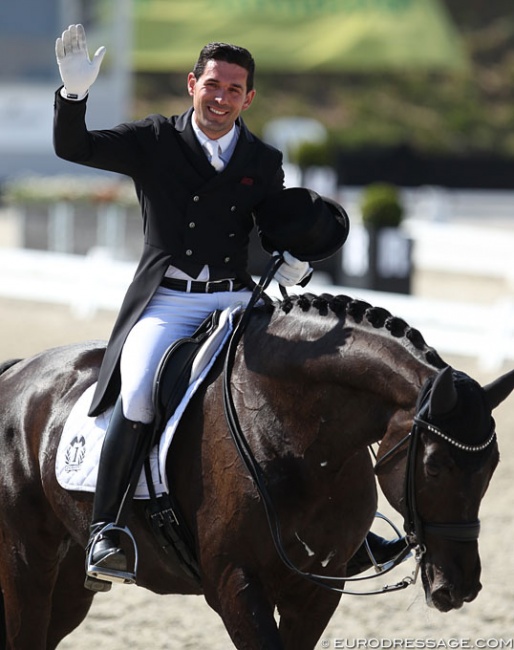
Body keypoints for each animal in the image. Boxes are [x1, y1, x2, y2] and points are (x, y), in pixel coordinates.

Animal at [1, 294, 512, 648]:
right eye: (436, 465)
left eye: (492, 467)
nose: (460, 586)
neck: (296, 434)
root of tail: (19, 371)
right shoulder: (235, 583)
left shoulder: (319, 588)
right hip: (27, 561)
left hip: (71, 578)